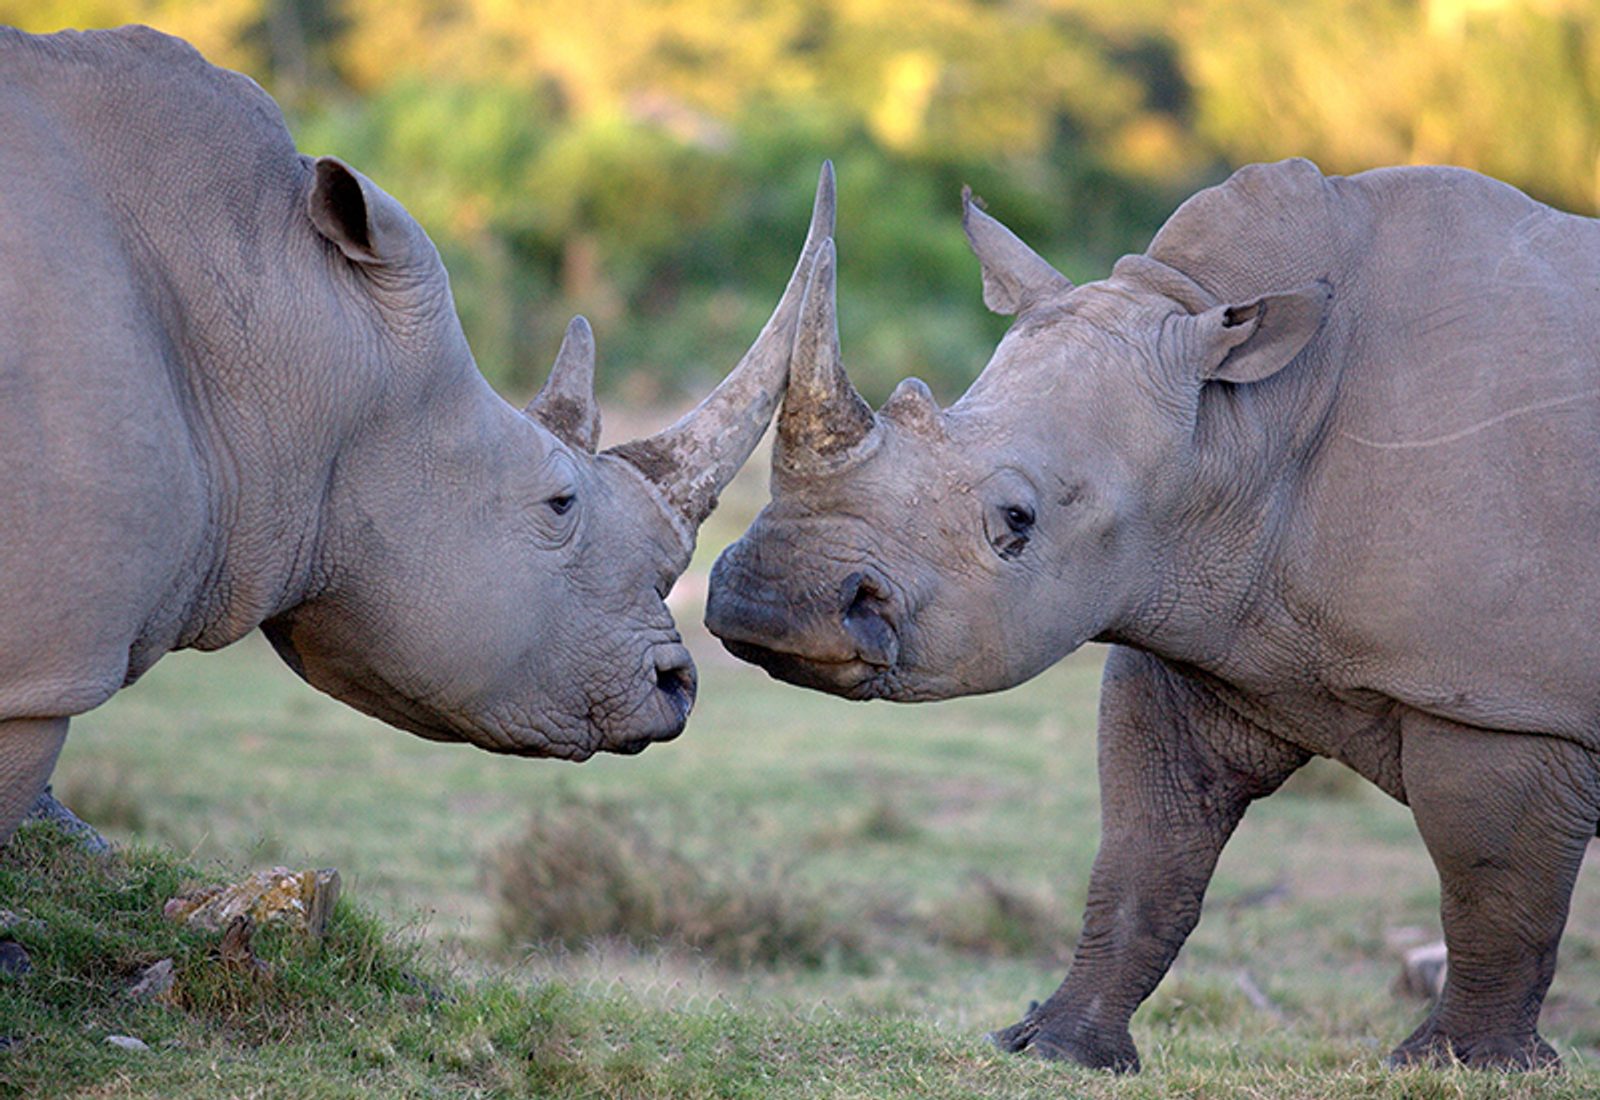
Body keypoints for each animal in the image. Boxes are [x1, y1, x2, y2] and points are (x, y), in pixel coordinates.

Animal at [705, 158, 1600, 1070]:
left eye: (1017, 521)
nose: (769, 606)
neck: (1244, 419)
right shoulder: (1198, 619)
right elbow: (1145, 856)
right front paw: (1055, 1048)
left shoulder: (1502, 702)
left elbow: (1493, 890)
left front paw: (1462, 1065)